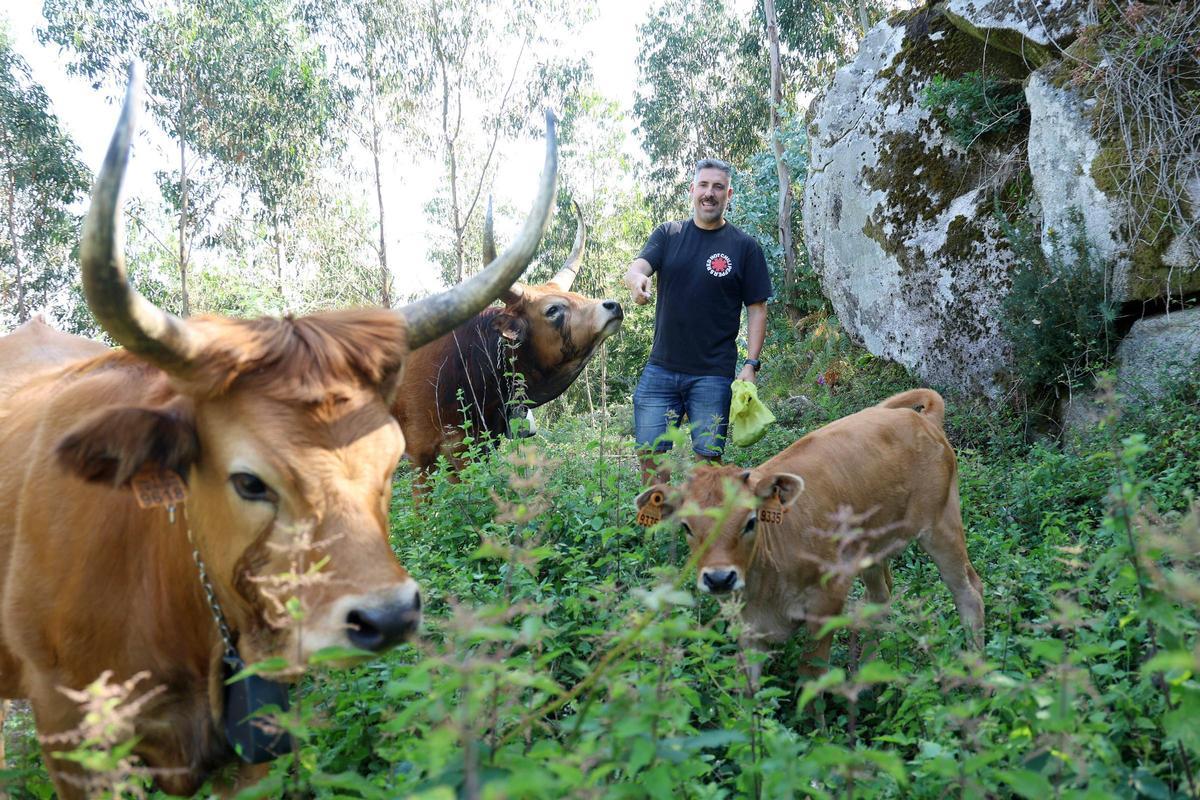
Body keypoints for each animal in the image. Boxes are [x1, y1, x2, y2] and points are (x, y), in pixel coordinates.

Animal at [635, 389, 984, 685]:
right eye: (686, 527)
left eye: (750, 521)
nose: (720, 578)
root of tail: (920, 419)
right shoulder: (747, 631)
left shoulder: (828, 602)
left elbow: (810, 677)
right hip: (870, 546)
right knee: (880, 597)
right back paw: (867, 671)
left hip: (941, 524)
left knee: (968, 591)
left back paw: (976, 673)